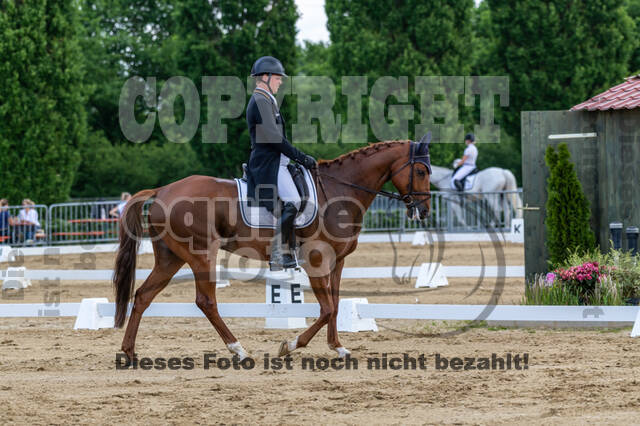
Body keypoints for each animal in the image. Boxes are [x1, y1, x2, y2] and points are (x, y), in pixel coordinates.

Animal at [113, 139, 431, 361]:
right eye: (419, 170)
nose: (425, 210)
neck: (338, 192)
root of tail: (162, 190)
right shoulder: (316, 259)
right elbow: (327, 308)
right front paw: (289, 345)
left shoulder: (337, 261)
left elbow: (336, 304)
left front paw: (338, 348)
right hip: (201, 255)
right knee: (206, 301)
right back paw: (239, 350)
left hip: (171, 258)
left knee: (143, 296)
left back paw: (129, 352)